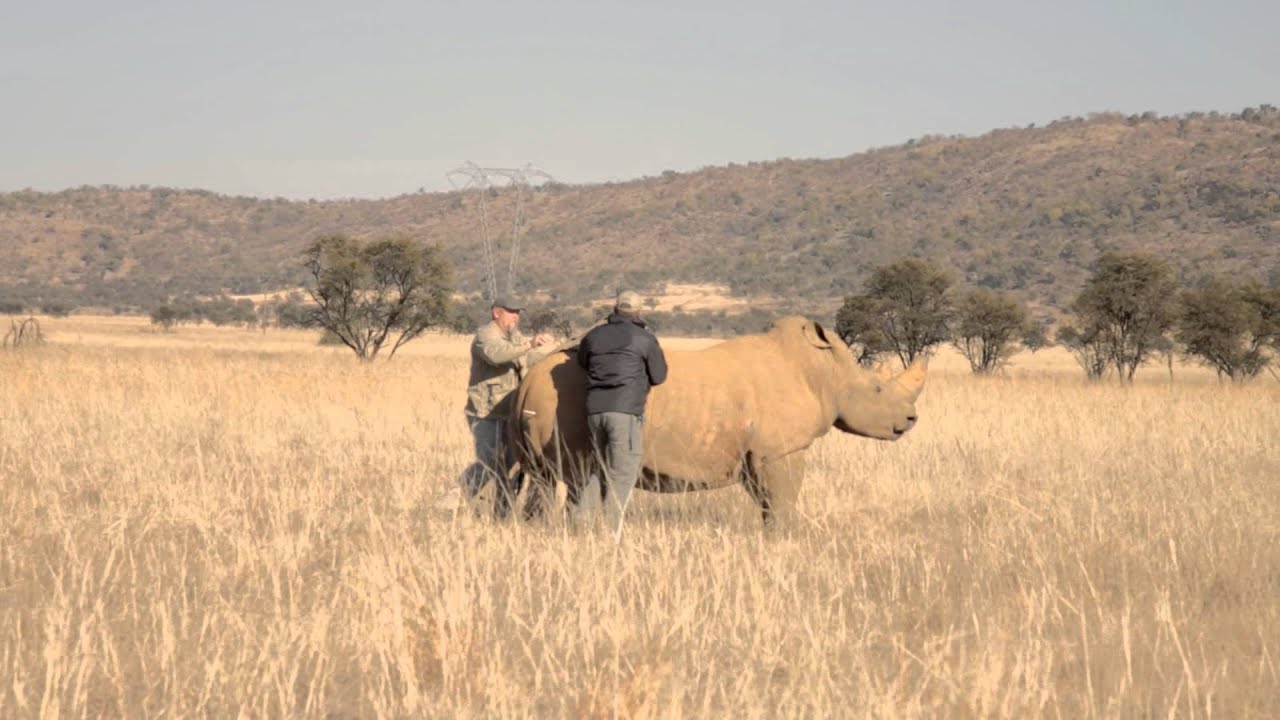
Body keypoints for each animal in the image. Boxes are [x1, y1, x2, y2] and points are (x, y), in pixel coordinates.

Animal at [505, 316, 926, 524]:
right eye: (877, 389)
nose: (911, 419)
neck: (823, 372)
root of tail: (527, 381)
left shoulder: (758, 454)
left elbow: (768, 502)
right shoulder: (781, 451)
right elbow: (783, 503)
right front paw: (785, 538)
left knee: (546, 480)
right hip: (561, 405)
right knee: (569, 479)